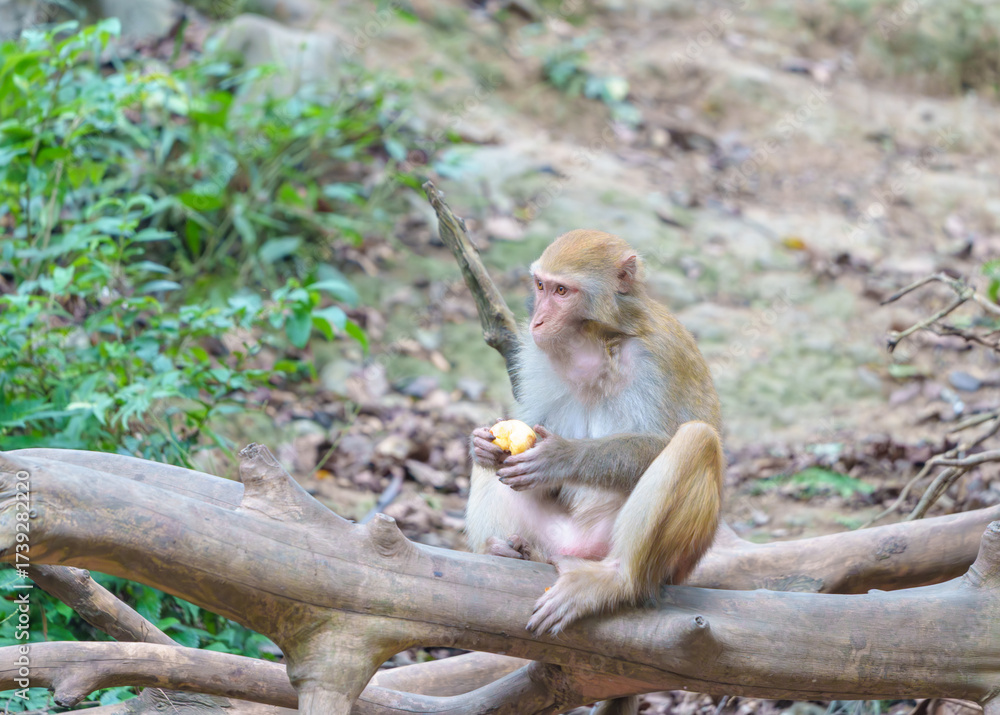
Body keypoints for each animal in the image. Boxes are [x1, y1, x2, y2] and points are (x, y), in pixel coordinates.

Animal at [465, 229, 724, 715]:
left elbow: (659, 441)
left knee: (697, 439)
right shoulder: (538, 358)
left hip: (663, 563)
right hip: (550, 537)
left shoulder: (654, 356)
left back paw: (617, 581)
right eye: (541, 286)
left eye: (562, 292)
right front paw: (483, 445)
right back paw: (500, 550)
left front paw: (560, 458)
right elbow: (517, 424)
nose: (538, 322)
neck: (594, 342)